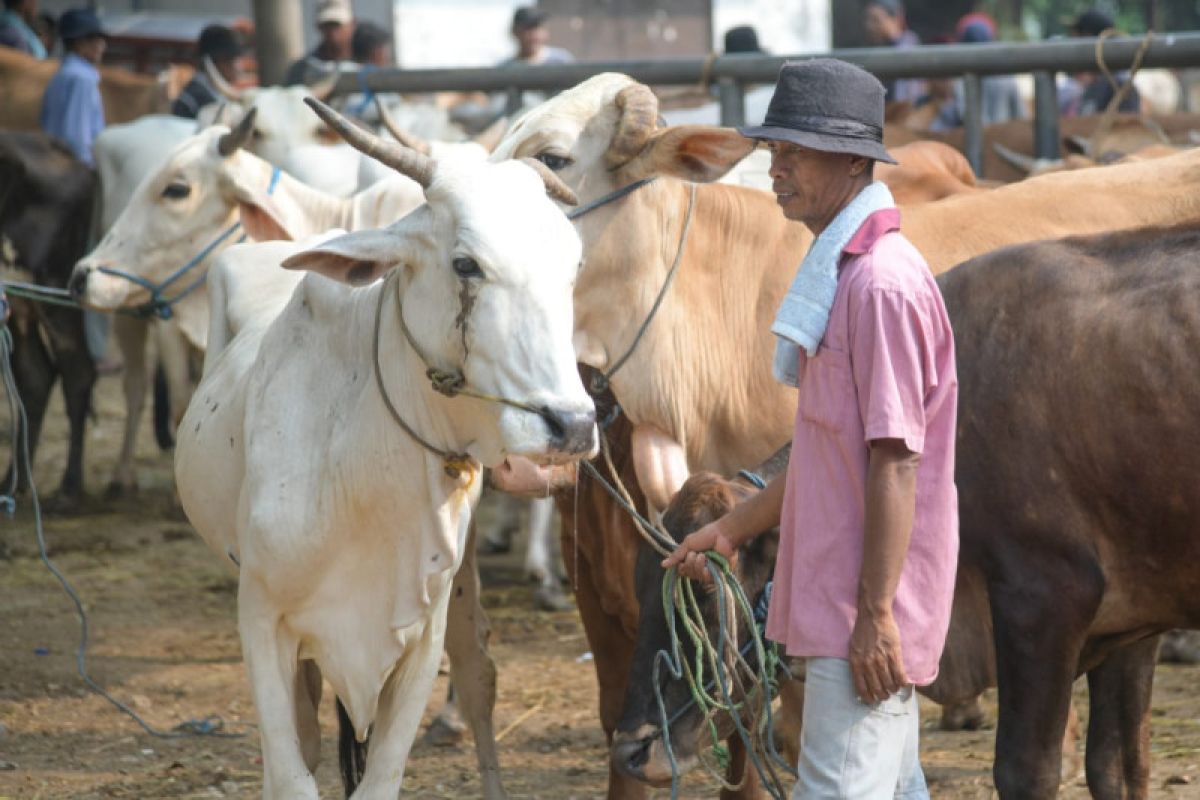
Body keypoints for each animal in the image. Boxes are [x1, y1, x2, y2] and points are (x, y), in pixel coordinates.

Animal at [0, 136, 97, 501]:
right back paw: (13, 484)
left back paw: (69, 488)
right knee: (36, 377)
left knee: (76, 370)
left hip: (55, 286)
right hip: (21, 298)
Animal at [174, 101, 595, 800]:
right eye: (465, 264)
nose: (572, 424)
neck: (361, 477)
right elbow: (291, 774)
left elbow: (382, 775)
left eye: (574, 267)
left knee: (477, 677)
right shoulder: (260, 622)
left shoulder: (419, 639)